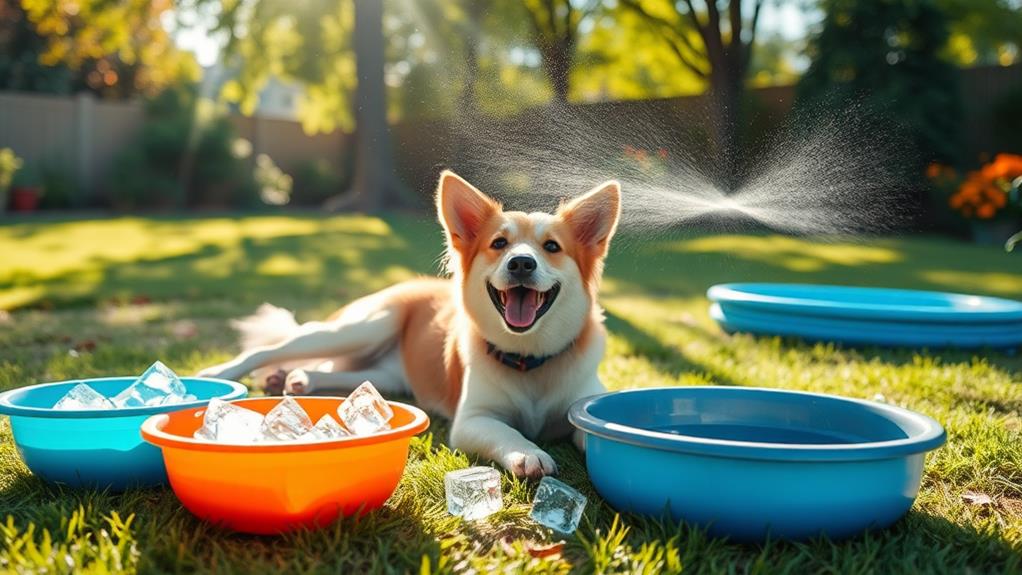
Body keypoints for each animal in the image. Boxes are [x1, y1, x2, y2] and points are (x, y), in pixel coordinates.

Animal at [195, 169, 617, 477]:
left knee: (340, 376)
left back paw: (296, 379)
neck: (529, 360)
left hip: (386, 376)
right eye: (499, 244)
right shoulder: (473, 420)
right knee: (272, 349)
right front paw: (526, 452)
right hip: (363, 327)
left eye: (552, 247)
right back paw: (223, 371)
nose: (522, 263)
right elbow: (507, 430)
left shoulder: (580, 401)